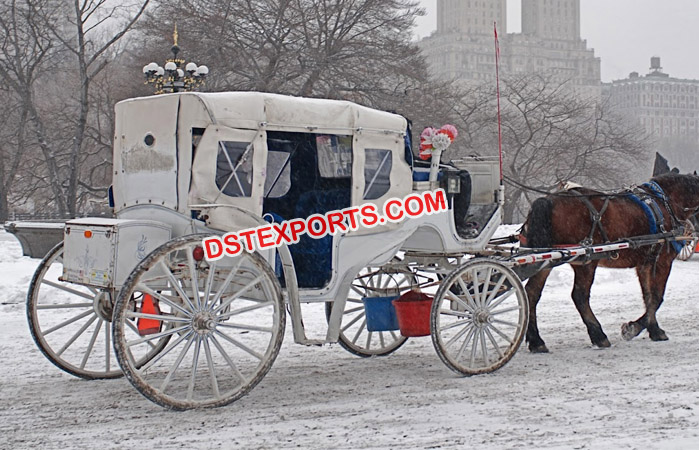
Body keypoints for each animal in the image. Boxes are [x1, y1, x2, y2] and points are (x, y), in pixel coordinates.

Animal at [524, 172, 699, 352]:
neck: (665, 202)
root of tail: (549, 200)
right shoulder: (664, 261)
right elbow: (657, 296)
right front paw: (636, 329)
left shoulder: (645, 263)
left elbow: (648, 297)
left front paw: (651, 328)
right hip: (586, 262)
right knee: (579, 296)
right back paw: (598, 335)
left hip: (547, 260)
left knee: (531, 293)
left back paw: (536, 341)